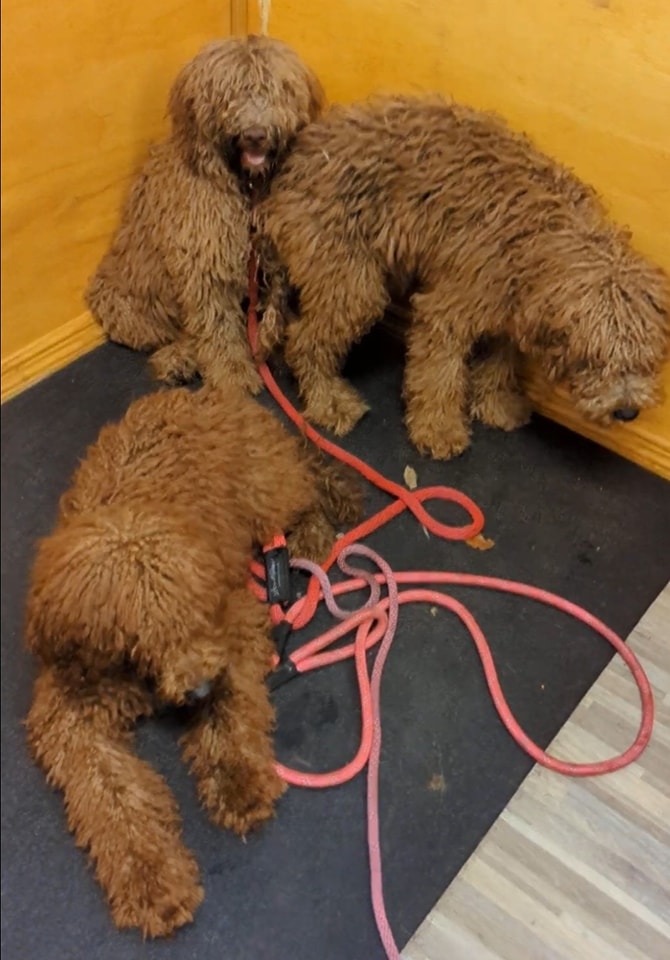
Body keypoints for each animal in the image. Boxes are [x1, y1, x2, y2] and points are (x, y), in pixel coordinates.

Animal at [25, 384, 362, 936]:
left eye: (192, 616)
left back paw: (312, 536)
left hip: (266, 486)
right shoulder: (71, 711)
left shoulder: (232, 624)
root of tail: (218, 394)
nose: (199, 689)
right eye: (138, 636)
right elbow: (111, 796)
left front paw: (237, 782)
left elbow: (230, 712)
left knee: (308, 487)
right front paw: (150, 880)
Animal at [85, 33, 326, 394]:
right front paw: (234, 373)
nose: (255, 134)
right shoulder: (203, 266)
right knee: (173, 334)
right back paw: (178, 360)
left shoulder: (270, 254)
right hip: (124, 305)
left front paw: (274, 347)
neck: (245, 189)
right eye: (229, 93)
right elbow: (217, 327)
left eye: (278, 90)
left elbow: (274, 305)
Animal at [258, 93, 670, 458]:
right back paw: (328, 402)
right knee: (304, 340)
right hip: (352, 283)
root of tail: (286, 174)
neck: (542, 236)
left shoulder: (511, 311)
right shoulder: (448, 310)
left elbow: (501, 362)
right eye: (594, 358)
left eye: (647, 357)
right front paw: (438, 431)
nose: (627, 411)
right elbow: (440, 376)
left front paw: (496, 404)